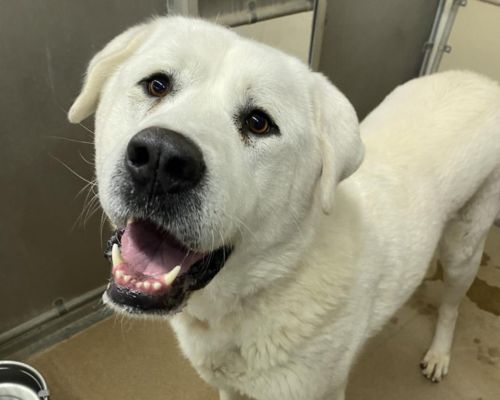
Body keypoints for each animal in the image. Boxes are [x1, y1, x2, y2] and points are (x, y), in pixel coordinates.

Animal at [67, 16, 500, 400]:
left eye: (259, 123)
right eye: (156, 84)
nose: (161, 159)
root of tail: (484, 81)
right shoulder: (229, 388)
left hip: (464, 247)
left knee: (451, 306)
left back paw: (439, 355)